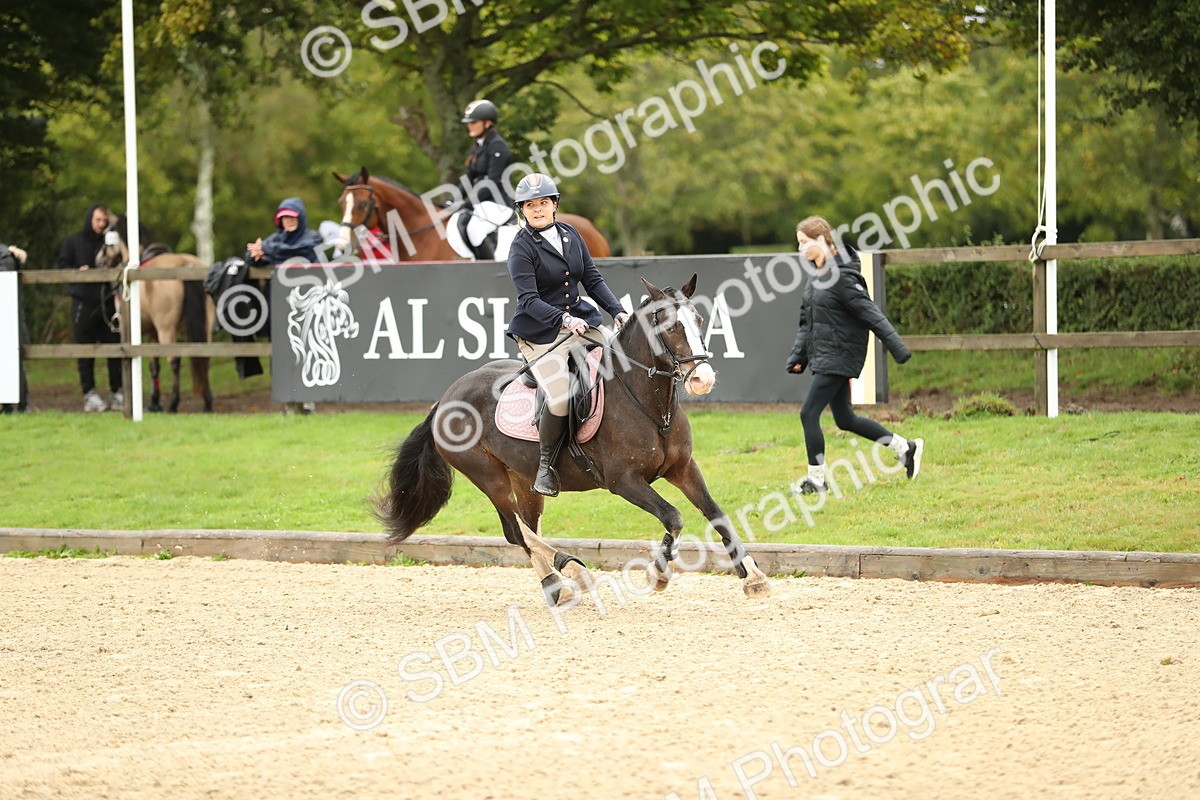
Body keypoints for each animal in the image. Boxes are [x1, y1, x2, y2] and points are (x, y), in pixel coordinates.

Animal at [96, 232, 215, 412]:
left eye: (106, 242)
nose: (98, 260)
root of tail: (185, 264)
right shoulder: (153, 333)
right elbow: (154, 366)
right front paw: (155, 401)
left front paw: (154, 401)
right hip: (204, 329)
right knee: (205, 358)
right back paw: (207, 402)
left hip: (167, 330)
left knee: (174, 361)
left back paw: (173, 404)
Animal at [374, 274, 771, 606]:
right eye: (669, 326)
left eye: (700, 321)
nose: (702, 379)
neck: (649, 403)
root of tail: (445, 398)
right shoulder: (624, 482)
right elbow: (673, 516)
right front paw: (659, 574)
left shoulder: (684, 469)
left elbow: (717, 515)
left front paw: (752, 576)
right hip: (488, 476)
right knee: (517, 530)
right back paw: (575, 572)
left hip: (525, 480)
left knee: (524, 528)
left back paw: (556, 586)